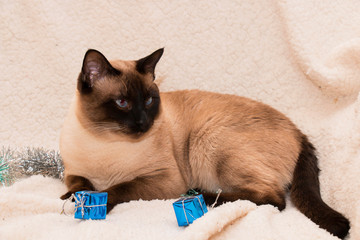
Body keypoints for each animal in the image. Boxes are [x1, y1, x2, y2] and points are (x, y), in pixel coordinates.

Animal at [60, 48, 350, 238]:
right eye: (123, 103)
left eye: (149, 101)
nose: (143, 123)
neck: (103, 141)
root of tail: (298, 131)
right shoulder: (72, 171)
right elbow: (79, 184)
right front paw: (74, 198)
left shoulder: (162, 180)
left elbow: (120, 188)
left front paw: (93, 203)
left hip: (210, 137)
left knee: (274, 199)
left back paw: (207, 196)